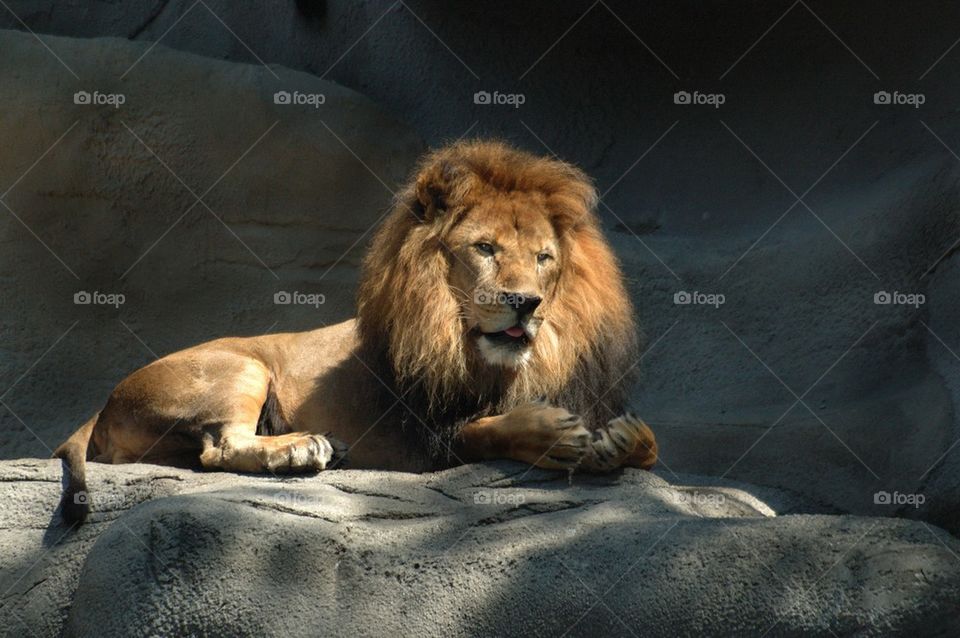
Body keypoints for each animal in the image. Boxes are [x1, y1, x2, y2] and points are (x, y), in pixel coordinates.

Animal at [54, 139, 658, 525]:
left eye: (543, 258)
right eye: (485, 249)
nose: (525, 303)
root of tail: (104, 402)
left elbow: (647, 447)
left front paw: (623, 438)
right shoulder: (421, 437)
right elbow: (489, 431)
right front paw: (554, 434)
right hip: (242, 364)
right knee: (220, 448)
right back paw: (304, 448)